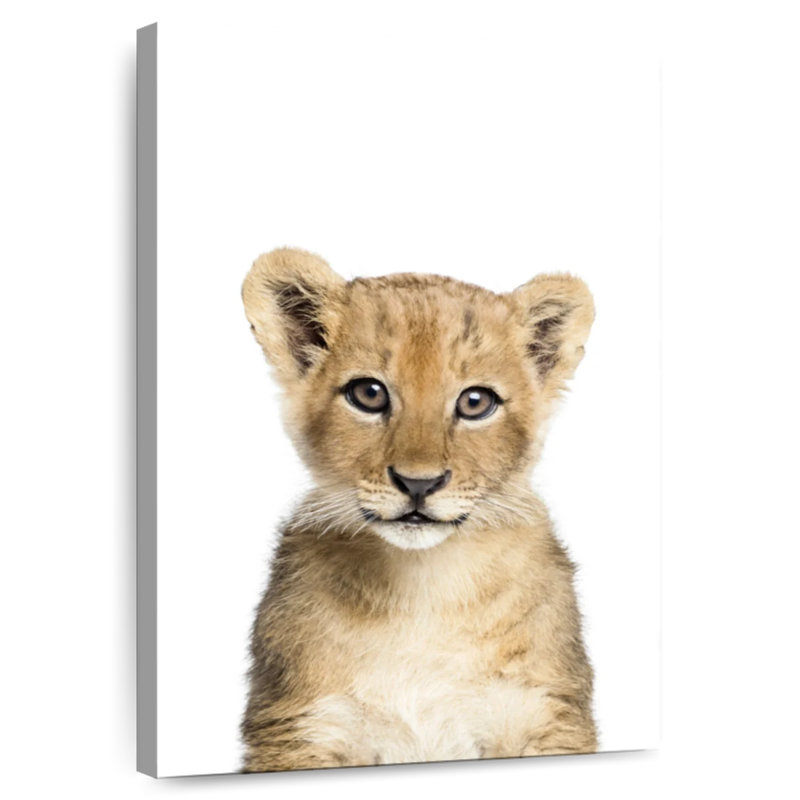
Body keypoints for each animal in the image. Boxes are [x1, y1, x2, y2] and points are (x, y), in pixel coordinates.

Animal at [240, 247, 597, 772]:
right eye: (368, 394)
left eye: (475, 402)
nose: (418, 483)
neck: (424, 587)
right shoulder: (301, 727)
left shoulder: (546, 715)